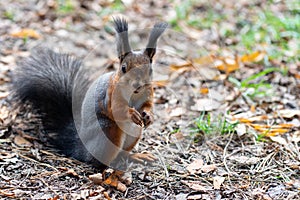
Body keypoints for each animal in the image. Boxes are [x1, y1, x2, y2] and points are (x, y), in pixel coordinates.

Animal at [12, 17, 168, 170]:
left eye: (150, 70)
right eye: (124, 68)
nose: (138, 84)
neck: (133, 93)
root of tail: (82, 149)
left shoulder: (147, 93)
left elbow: (147, 105)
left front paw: (149, 116)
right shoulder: (110, 94)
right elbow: (117, 109)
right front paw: (132, 114)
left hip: (134, 133)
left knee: (122, 153)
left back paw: (135, 156)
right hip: (108, 130)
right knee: (98, 161)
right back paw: (110, 167)